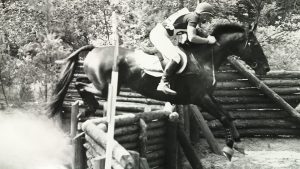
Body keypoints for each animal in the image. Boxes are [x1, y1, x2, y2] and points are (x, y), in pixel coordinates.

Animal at [47, 22, 270, 160]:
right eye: (254, 43)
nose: (265, 68)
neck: (205, 58)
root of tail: (95, 48)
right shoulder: (201, 98)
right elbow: (223, 117)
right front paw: (228, 148)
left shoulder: (208, 96)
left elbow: (228, 115)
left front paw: (237, 143)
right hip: (105, 87)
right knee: (81, 85)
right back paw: (89, 108)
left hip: (105, 84)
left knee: (80, 82)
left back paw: (87, 110)